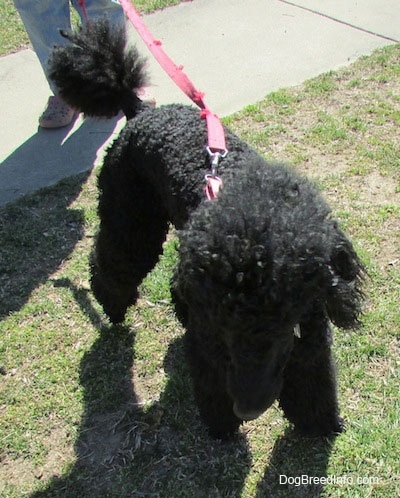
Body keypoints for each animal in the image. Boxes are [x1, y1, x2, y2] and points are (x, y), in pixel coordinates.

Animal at [48, 19, 364, 440]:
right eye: (226, 328)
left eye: (281, 323)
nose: (248, 408)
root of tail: (137, 111)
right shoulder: (207, 335)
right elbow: (211, 377)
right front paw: (222, 425)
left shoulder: (309, 326)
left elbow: (313, 378)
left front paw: (320, 424)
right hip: (131, 215)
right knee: (116, 260)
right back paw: (112, 305)